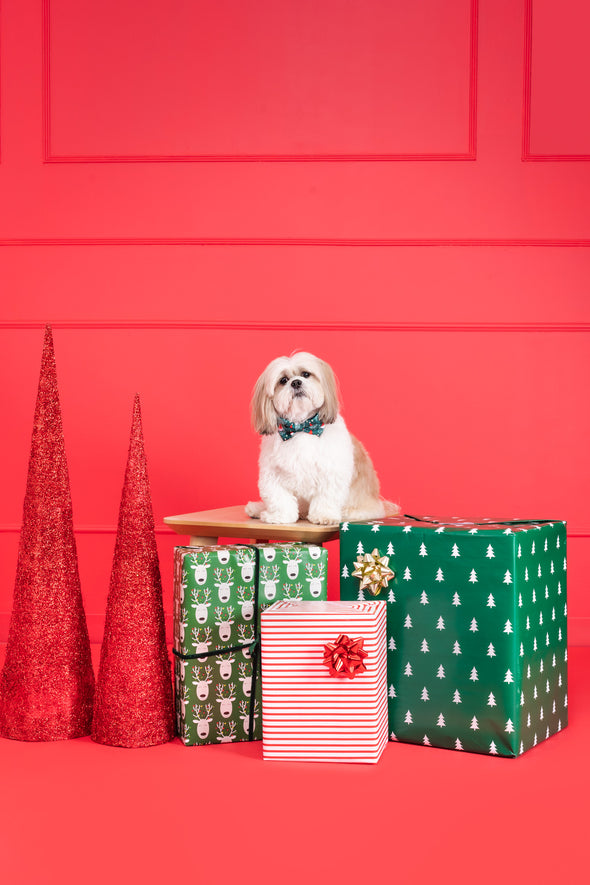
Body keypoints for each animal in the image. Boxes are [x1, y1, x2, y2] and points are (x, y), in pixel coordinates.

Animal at [245, 348, 402, 520]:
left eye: (306, 374)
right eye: (283, 380)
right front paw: (280, 516)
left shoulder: (332, 471)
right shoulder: (273, 474)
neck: (301, 428)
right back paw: (257, 509)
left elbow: (326, 497)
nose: (296, 382)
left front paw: (323, 516)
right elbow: (279, 499)